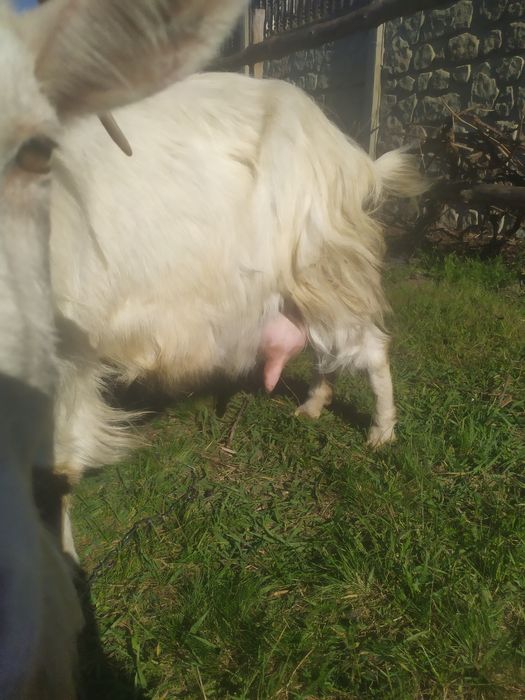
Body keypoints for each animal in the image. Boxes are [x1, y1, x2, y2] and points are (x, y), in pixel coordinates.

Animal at [48, 72, 427, 559]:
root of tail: (353, 157)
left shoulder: (65, 356)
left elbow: (58, 472)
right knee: (326, 351)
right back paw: (312, 406)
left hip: (324, 268)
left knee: (369, 347)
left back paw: (380, 432)